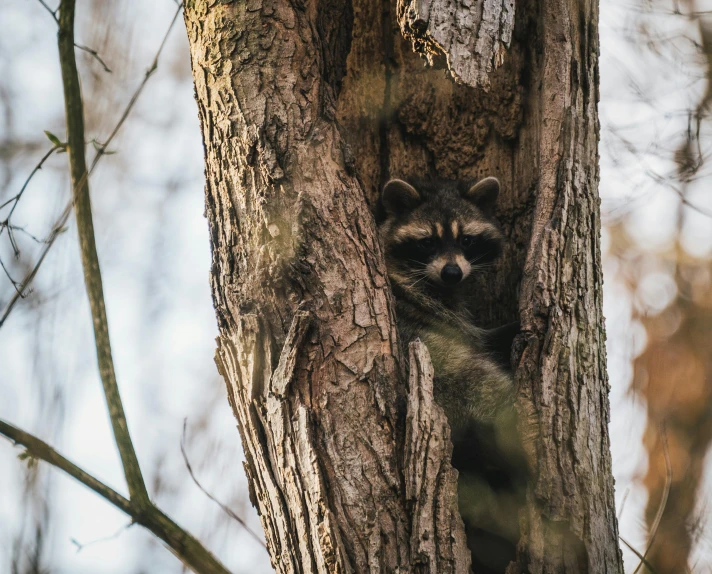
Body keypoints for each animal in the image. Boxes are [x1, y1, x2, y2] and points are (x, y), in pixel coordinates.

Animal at [378, 178, 524, 572]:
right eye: (427, 242)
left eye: (467, 240)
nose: (452, 272)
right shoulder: (431, 306)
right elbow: (477, 339)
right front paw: (510, 331)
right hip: (455, 379)